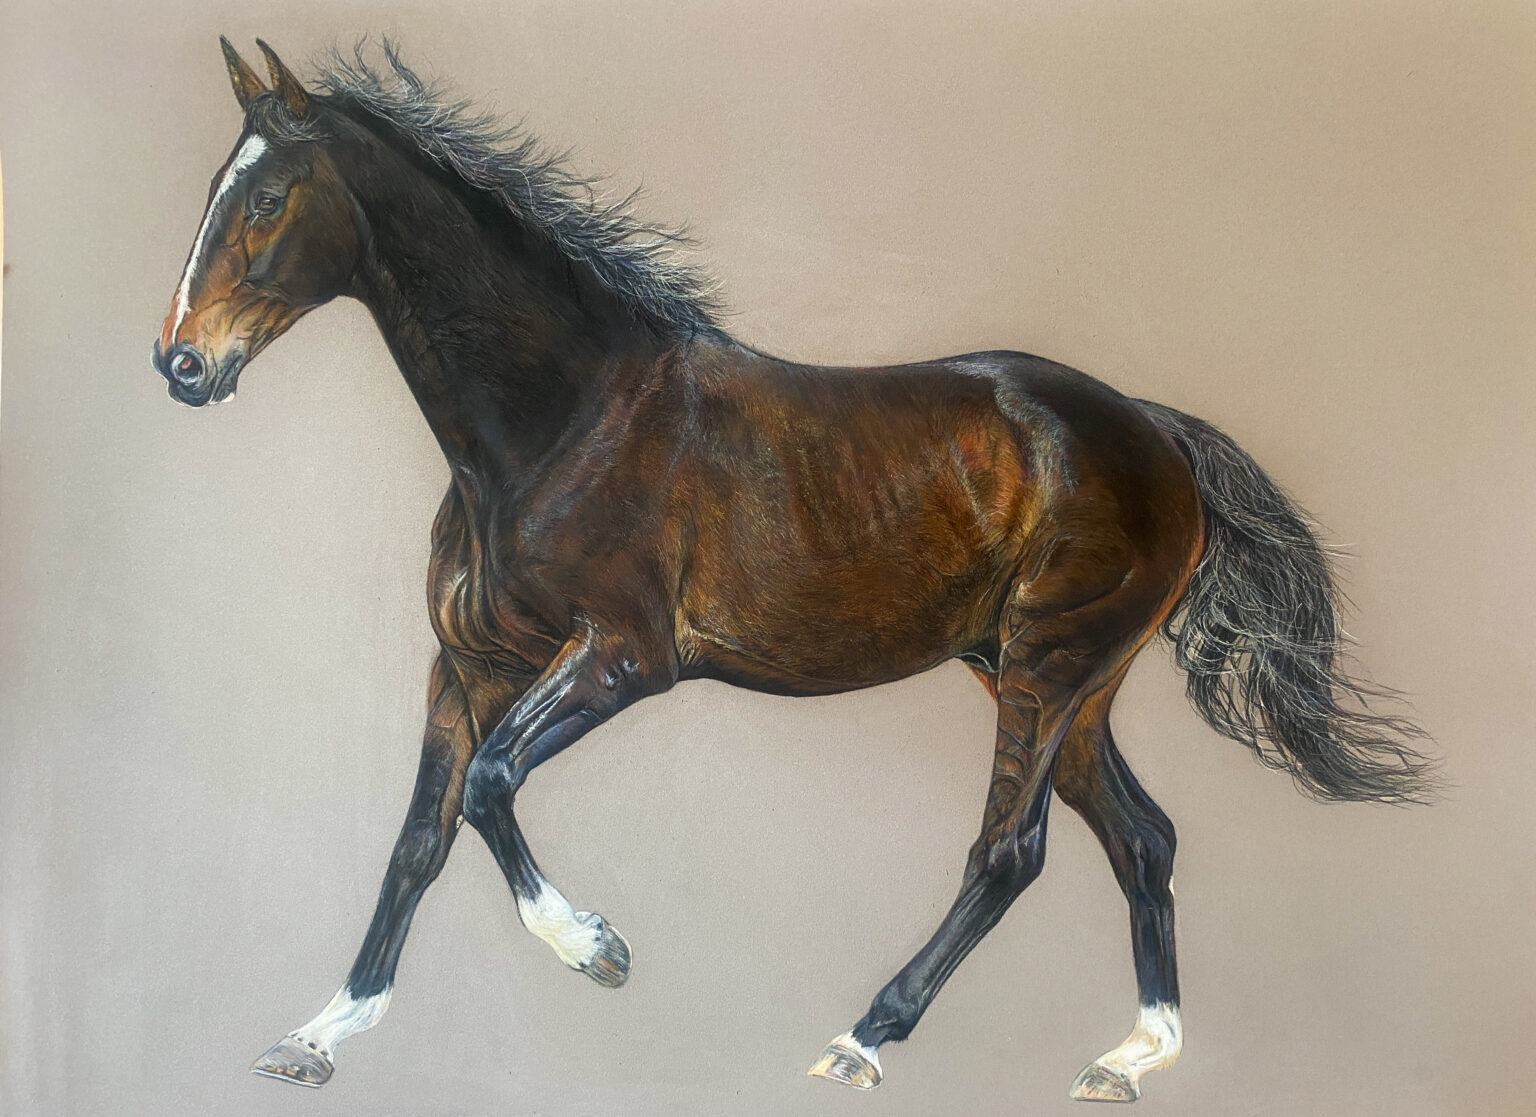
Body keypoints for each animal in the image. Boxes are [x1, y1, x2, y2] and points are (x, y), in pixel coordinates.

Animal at [154, 38, 1436, 1103]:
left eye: (265, 197)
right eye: (217, 185)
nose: (180, 364)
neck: (562, 422)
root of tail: (1158, 433)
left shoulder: (620, 659)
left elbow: (490, 788)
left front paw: (599, 950)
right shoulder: (468, 665)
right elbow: (420, 835)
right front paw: (318, 1033)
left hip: (1052, 664)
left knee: (1010, 850)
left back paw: (863, 1038)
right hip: (1058, 678)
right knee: (1144, 837)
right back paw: (1129, 1057)